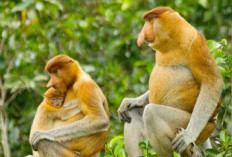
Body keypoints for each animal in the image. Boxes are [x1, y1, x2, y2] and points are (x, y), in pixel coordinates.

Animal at [118, 6, 224, 156]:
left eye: (150, 20)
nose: (142, 35)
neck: (173, 37)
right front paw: (132, 101)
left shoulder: (195, 41)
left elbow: (213, 82)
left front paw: (187, 136)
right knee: (133, 113)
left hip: (198, 127)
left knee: (151, 113)